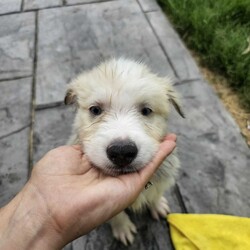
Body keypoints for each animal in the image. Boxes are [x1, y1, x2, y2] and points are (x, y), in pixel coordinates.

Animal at [65, 58, 184, 244]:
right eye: (95, 110)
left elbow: (156, 192)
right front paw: (123, 228)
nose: (121, 152)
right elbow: (116, 215)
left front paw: (157, 205)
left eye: (146, 111)